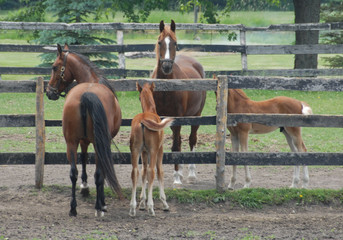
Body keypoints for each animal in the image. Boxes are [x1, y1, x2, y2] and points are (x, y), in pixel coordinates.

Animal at [46, 43, 123, 218]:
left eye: (54, 67)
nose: (49, 92)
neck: (91, 80)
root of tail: (86, 95)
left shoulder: (82, 141)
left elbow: (83, 160)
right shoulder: (97, 142)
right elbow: (98, 170)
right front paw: (101, 201)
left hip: (71, 142)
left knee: (73, 173)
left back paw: (73, 208)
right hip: (96, 143)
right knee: (99, 174)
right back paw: (98, 207)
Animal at [130, 82, 175, 218]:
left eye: (139, 97)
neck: (150, 111)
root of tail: (142, 120)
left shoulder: (144, 152)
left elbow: (143, 172)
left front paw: (141, 203)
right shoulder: (159, 149)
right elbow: (160, 172)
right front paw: (164, 203)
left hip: (135, 150)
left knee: (135, 172)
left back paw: (132, 208)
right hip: (154, 150)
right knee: (152, 171)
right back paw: (151, 208)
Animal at [151, 20, 206, 186]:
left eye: (175, 43)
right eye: (160, 42)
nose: (166, 66)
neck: (165, 88)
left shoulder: (178, 118)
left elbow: (175, 146)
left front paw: (176, 179)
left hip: (196, 116)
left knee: (191, 140)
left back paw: (191, 174)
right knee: (181, 141)